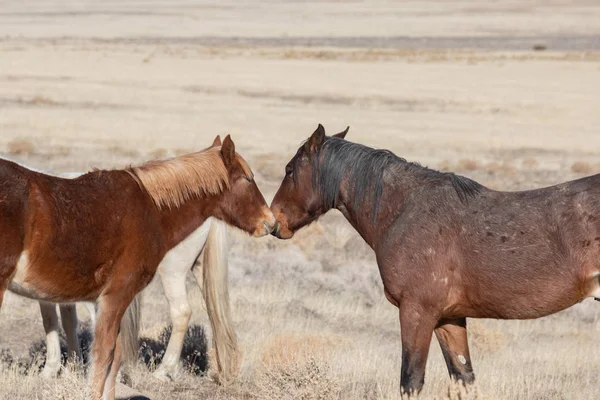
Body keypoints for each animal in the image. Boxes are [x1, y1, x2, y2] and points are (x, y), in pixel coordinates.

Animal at [0, 135, 274, 400]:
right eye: (248, 179)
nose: (270, 222)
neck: (151, 208)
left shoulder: (107, 302)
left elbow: (113, 358)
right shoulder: (115, 297)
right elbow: (104, 355)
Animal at [270, 125, 600, 394]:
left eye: (289, 170)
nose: (274, 222)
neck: (403, 209)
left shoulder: (417, 312)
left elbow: (411, 380)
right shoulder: (448, 318)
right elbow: (463, 378)